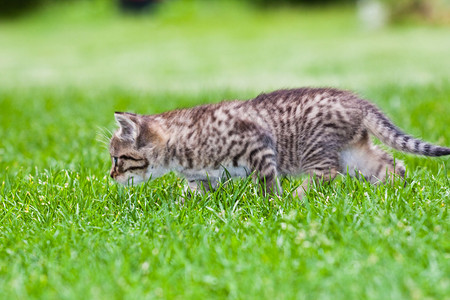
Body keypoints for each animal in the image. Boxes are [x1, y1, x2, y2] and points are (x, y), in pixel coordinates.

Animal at [109, 88, 450, 198]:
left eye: (116, 159)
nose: (110, 176)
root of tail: (357, 102)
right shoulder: (203, 177)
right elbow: (191, 193)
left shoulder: (258, 144)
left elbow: (267, 183)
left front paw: (272, 205)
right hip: (354, 152)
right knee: (392, 165)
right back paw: (393, 192)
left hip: (317, 148)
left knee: (328, 173)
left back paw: (298, 196)